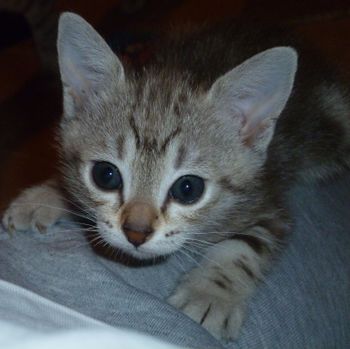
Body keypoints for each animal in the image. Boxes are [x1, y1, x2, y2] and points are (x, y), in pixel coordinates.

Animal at [2, 12, 350, 338]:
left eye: (187, 188)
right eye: (106, 175)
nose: (136, 233)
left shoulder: (268, 199)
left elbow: (245, 247)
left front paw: (210, 295)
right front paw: (44, 196)